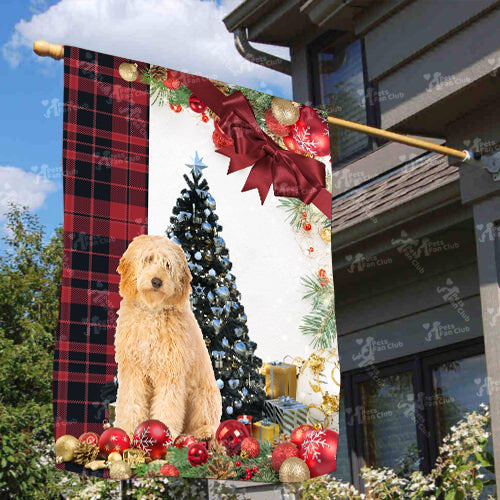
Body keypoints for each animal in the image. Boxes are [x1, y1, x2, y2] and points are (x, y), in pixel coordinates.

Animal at [114, 233, 224, 438]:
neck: (152, 312)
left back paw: (203, 431)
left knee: (209, 422)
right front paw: (128, 430)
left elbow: (168, 407)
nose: (157, 282)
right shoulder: (133, 371)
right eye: (147, 259)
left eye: (167, 264)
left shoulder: (170, 374)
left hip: (202, 397)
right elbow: (131, 403)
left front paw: (165, 434)